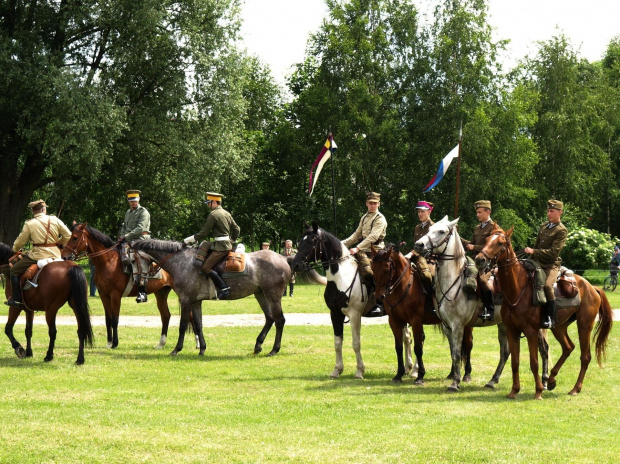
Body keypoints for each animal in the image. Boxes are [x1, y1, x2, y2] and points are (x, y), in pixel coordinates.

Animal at [133, 239, 326, 356]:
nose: (138, 280)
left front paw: (176, 349)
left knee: (279, 320)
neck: (182, 262)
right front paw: (202, 349)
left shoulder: (186, 300)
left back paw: (273, 349)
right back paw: (258, 345)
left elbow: (182, 326)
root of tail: (284, 258)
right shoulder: (195, 301)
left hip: (272, 295)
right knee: (270, 318)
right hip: (260, 294)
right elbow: (199, 325)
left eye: (133, 259)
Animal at [290, 223, 412, 378]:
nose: (295, 265)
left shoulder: (355, 315)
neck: (341, 278)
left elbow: (356, 343)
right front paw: (337, 370)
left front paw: (359, 371)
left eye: (312, 241)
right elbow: (337, 343)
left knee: (407, 337)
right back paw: (408, 368)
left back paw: (412, 369)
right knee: (406, 337)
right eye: (300, 241)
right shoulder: (335, 314)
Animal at [370, 246, 478, 384]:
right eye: (373, 268)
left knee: (468, 345)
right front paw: (399, 375)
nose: (379, 297)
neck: (404, 286)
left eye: (386, 269)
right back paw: (452, 374)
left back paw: (467, 374)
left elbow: (418, 348)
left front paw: (420, 375)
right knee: (454, 346)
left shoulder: (416, 321)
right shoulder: (394, 321)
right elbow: (399, 347)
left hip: (466, 324)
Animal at [474, 227, 616, 398]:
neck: (518, 289)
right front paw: (514, 391)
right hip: (559, 327)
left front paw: (538, 391)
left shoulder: (531, 332)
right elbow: (515, 362)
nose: (479, 259)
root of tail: (591, 287)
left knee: (585, 357)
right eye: (487, 240)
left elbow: (534, 362)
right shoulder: (512, 331)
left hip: (584, 326)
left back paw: (575, 388)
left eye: (500, 243)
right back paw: (552, 379)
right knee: (568, 347)